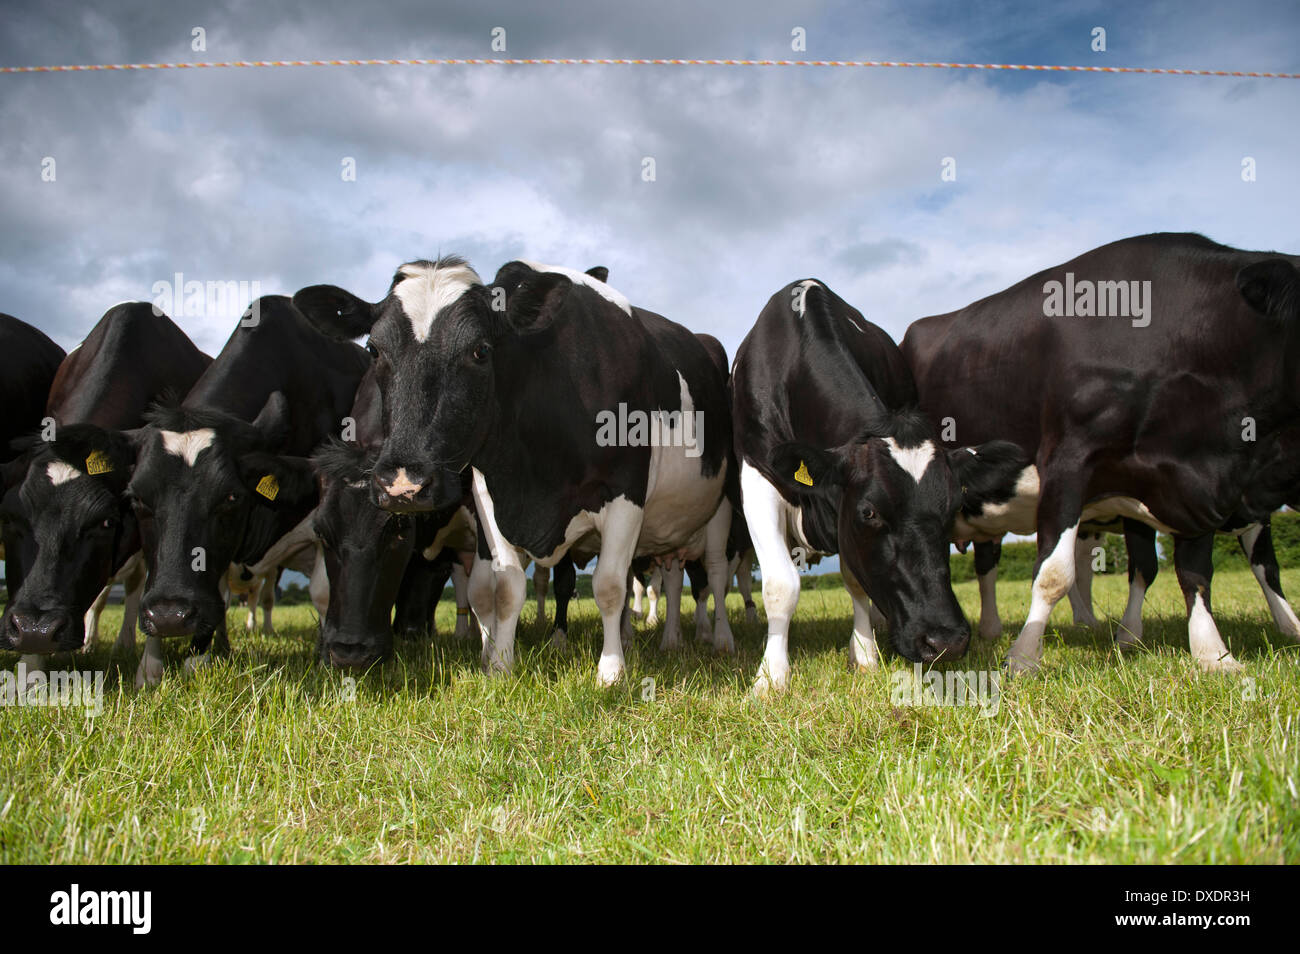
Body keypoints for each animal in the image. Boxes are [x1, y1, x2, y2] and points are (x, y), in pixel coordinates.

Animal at [297, 257, 743, 686]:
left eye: (480, 350)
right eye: (374, 350)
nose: (403, 483)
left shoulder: (624, 493)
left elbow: (610, 586)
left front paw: (611, 672)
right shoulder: (490, 499)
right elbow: (506, 589)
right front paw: (499, 666)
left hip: (721, 510)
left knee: (714, 575)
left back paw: (718, 638)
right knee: (673, 576)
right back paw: (668, 639)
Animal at [733, 276, 1024, 696]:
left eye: (953, 508)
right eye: (869, 511)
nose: (946, 641)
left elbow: (856, 580)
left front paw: (865, 654)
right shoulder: (758, 475)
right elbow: (780, 585)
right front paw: (771, 677)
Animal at [909, 233, 1300, 675]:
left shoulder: (1197, 486)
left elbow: (1196, 572)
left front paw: (1212, 653)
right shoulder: (1068, 461)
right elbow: (1055, 573)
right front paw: (1024, 655)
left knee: (993, 560)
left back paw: (1005, 627)